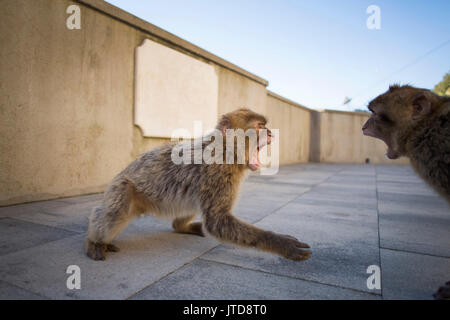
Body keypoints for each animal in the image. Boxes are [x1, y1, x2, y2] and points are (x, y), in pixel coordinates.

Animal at [87, 107, 312, 262]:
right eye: (260, 127)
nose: (271, 133)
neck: (226, 150)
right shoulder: (217, 174)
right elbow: (217, 221)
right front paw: (282, 244)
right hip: (122, 186)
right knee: (116, 210)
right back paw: (95, 241)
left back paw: (180, 226)